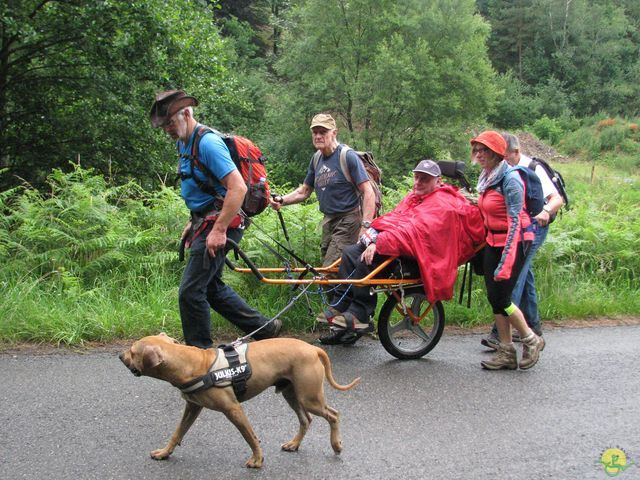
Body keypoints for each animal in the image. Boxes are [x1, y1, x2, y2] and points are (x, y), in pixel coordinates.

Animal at [120, 334, 360, 468]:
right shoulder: (192, 407)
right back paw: (294, 444)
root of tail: (312, 348)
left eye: (132, 351)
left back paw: (336, 445)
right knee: (306, 419)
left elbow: (250, 436)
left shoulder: (233, 409)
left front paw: (257, 459)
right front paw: (164, 452)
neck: (190, 362)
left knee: (333, 415)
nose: (120, 356)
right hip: (291, 393)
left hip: (309, 397)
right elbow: (177, 433)